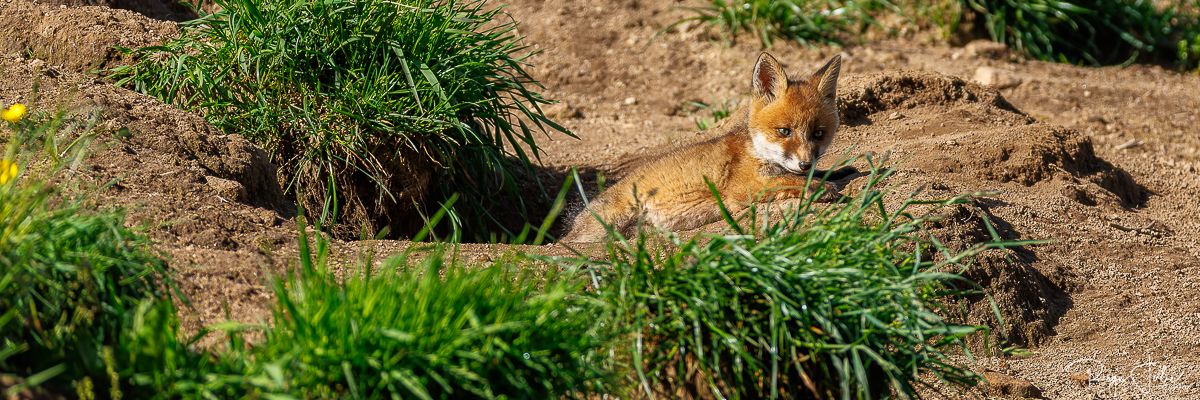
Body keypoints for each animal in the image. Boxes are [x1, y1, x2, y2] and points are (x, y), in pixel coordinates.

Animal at [564, 51, 854, 241]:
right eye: (784, 131)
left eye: (818, 134)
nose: (805, 163)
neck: (757, 152)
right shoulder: (742, 189)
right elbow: (793, 182)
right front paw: (822, 187)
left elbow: (811, 175)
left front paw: (836, 172)